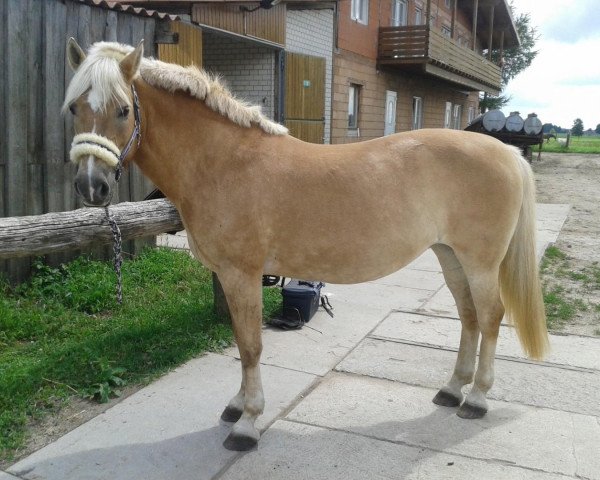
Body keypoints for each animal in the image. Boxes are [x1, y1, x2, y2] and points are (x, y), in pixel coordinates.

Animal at [64, 39, 548, 452]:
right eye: (74, 107)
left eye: (123, 110)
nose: (91, 186)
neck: (224, 162)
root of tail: (507, 153)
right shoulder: (232, 276)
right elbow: (241, 342)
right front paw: (237, 407)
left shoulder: (241, 274)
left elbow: (251, 346)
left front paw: (247, 424)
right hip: (450, 257)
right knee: (469, 317)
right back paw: (451, 390)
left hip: (480, 262)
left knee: (490, 317)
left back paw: (478, 399)